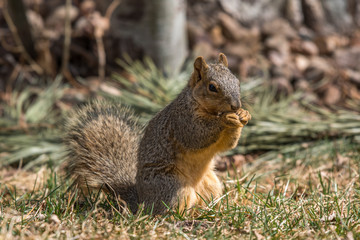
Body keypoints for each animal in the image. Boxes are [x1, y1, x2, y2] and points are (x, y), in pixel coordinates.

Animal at [64, 53, 250, 215]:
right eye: (212, 87)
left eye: (237, 82)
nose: (236, 105)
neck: (208, 110)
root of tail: (142, 201)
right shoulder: (182, 121)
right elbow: (196, 136)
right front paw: (226, 118)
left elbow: (227, 145)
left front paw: (243, 115)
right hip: (172, 187)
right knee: (164, 212)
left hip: (211, 184)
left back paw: (210, 212)